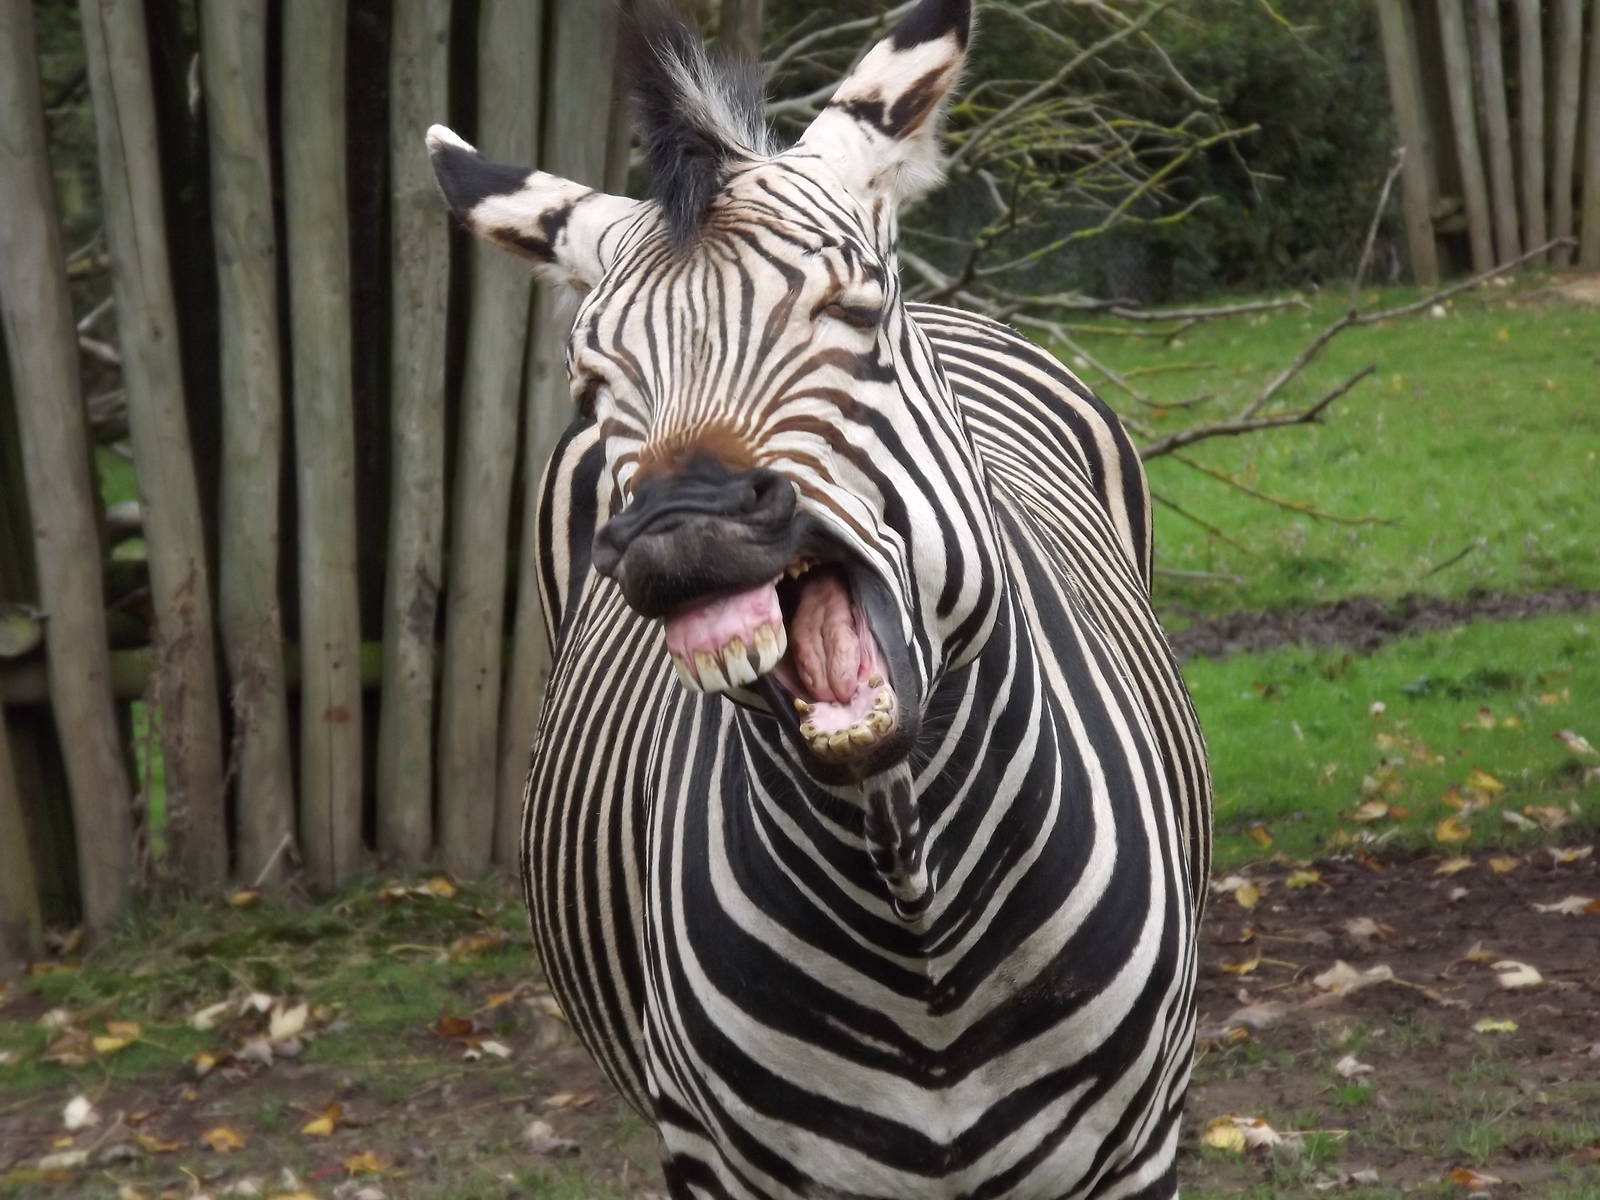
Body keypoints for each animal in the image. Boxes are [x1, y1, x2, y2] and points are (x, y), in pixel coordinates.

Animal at [427, 1, 1210, 1195]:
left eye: (856, 310)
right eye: (592, 385)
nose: (680, 526)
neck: (915, 911)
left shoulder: (1137, 1146)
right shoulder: (709, 1154)